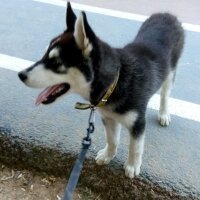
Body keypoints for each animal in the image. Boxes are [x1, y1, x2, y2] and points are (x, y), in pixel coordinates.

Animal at [18, 2, 184, 178]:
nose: (20, 75)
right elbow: (112, 140)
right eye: (44, 57)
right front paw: (108, 155)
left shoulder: (137, 122)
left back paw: (164, 114)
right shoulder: (108, 117)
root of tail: (166, 14)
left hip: (171, 72)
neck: (115, 82)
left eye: (56, 62)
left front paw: (132, 165)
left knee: (165, 94)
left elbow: (135, 147)